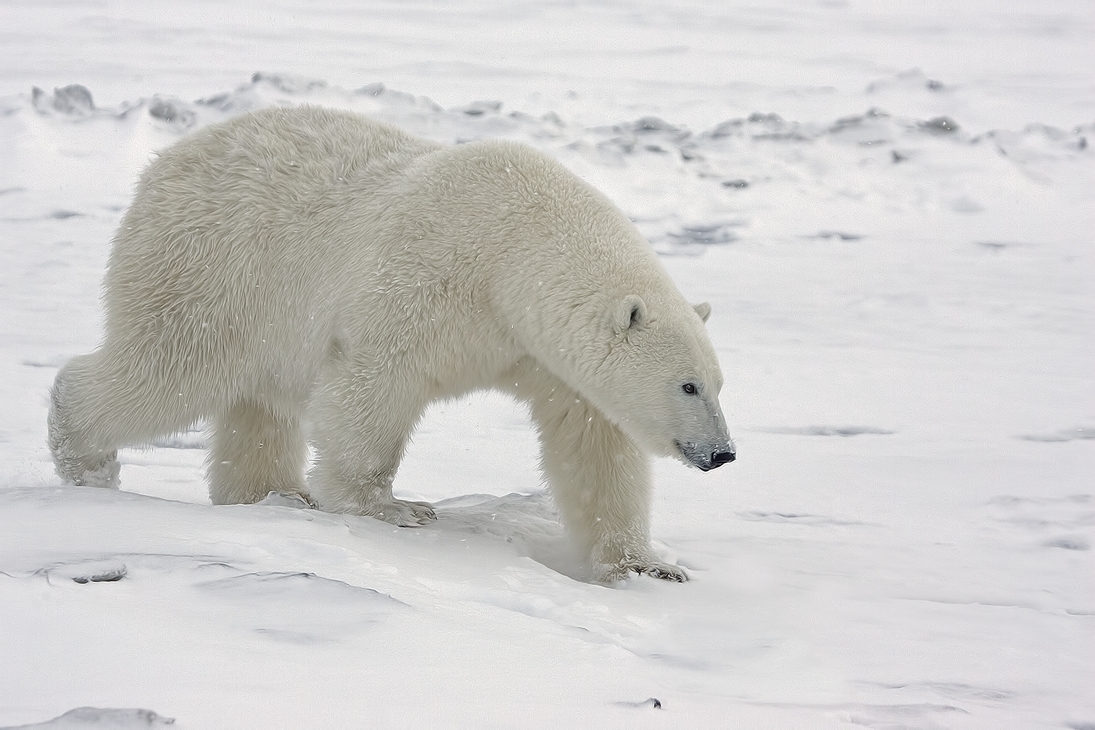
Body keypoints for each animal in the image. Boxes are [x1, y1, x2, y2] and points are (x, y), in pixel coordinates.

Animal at [49, 105, 735, 582]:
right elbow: (373, 383)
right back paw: (84, 456)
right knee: (169, 369)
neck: (515, 249)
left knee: (257, 404)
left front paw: (648, 564)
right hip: (213, 271)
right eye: (688, 385)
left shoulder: (541, 354)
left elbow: (595, 451)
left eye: (719, 383)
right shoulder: (427, 279)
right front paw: (392, 508)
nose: (723, 454)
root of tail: (161, 165)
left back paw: (274, 493)